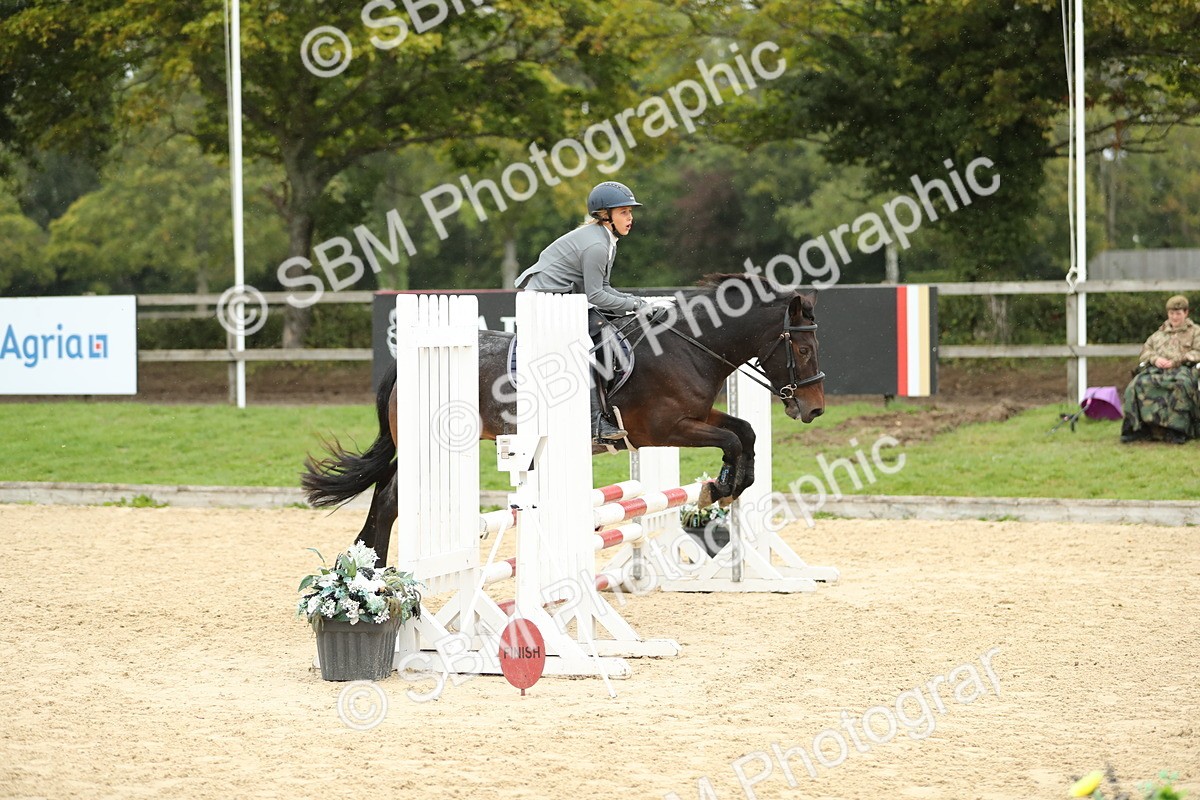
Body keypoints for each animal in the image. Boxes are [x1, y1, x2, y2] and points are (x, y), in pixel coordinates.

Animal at [301, 274, 826, 566]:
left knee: (383, 495)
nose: (814, 408)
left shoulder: (697, 416)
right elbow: (732, 440)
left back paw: (366, 562)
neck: (689, 347)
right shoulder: (665, 430)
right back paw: (374, 571)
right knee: (392, 497)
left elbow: (745, 433)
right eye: (802, 349)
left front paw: (727, 485)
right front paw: (718, 489)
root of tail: (404, 364)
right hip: (432, 446)